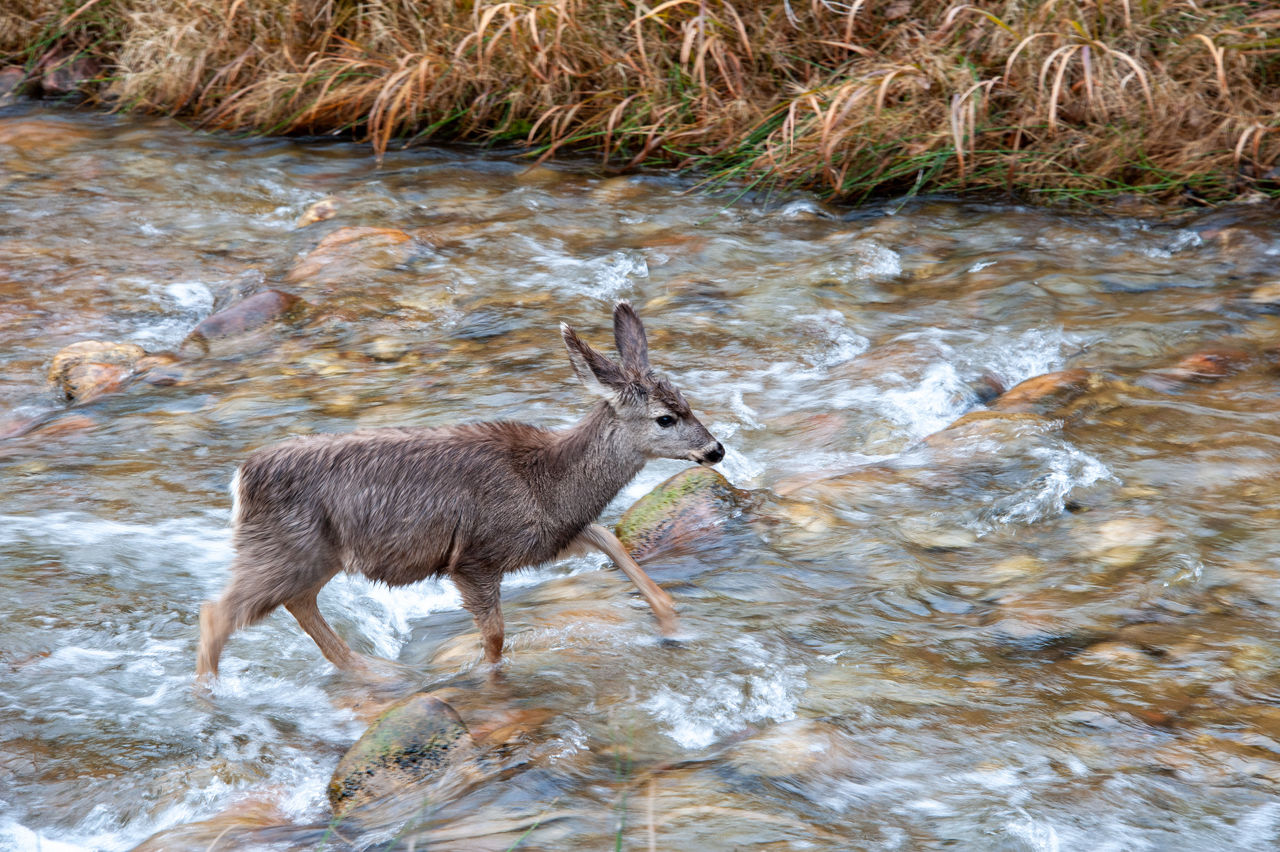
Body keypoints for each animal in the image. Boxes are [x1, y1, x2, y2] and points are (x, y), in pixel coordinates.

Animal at [195, 298, 727, 675]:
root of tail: (241, 478)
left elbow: (611, 540)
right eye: (665, 418)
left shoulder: (546, 539)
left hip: (311, 554)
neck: (548, 482)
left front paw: (671, 623)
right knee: (216, 613)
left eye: (687, 402)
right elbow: (494, 637)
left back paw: (368, 671)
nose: (716, 450)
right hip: (284, 547)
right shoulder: (475, 556)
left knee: (294, 604)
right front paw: (484, 677)